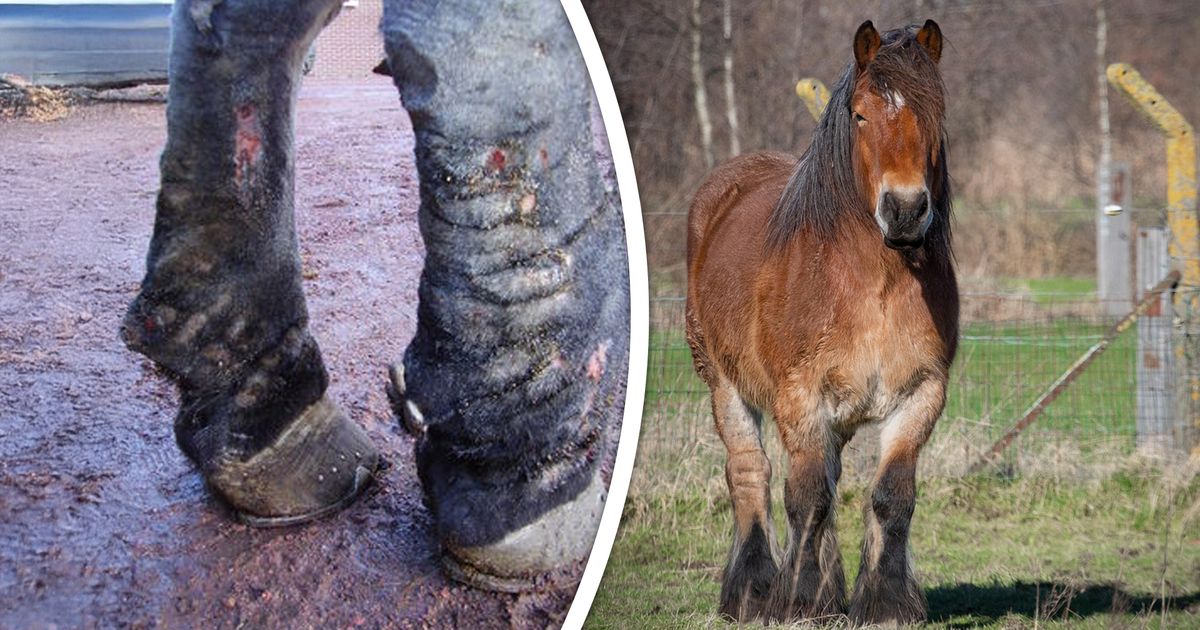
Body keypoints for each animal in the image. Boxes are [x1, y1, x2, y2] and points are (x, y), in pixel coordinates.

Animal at [685, 19, 956, 626]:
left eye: (938, 112)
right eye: (859, 114)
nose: (905, 210)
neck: (875, 283)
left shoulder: (921, 395)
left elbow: (891, 496)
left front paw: (885, 603)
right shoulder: (799, 397)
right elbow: (805, 499)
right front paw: (799, 601)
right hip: (724, 385)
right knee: (751, 475)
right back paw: (754, 591)